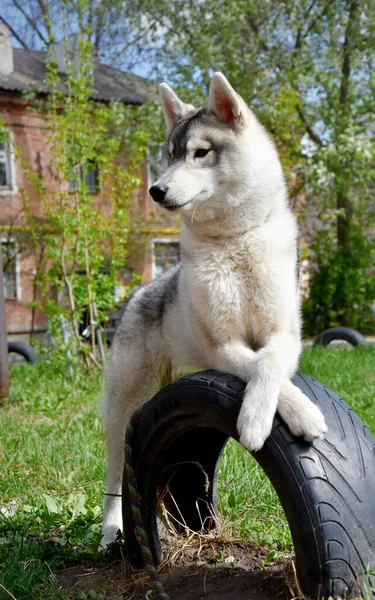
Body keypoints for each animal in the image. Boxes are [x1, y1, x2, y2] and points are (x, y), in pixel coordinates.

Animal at [101, 74, 328, 548]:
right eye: (168, 156)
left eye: (200, 153)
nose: (156, 190)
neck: (234, 240)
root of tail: (142, 291)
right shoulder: (222, 345)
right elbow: (257, 365)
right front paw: (277, 416)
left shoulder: (284, 336)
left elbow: (269, 363)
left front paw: (275, 414)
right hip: (124, 407)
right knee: (113, 477)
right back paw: (110, 528)